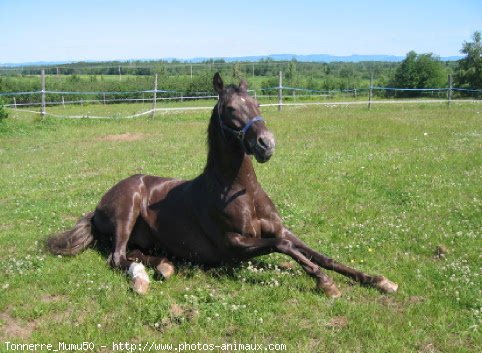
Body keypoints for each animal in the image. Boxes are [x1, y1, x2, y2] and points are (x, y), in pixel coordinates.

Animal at [46, 72, 400, 296]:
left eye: (257, 104)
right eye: (230, 109)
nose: (267, 144)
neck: (241, 193)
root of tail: (95, 210)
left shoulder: (281, 230)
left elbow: (317, 254)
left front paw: (378, 280)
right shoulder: (233, 246)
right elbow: (284, 248)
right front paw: (325, 284)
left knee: (135, 254)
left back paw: (165, 266)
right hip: (128, 208)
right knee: (118, 257)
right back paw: (143, 280)